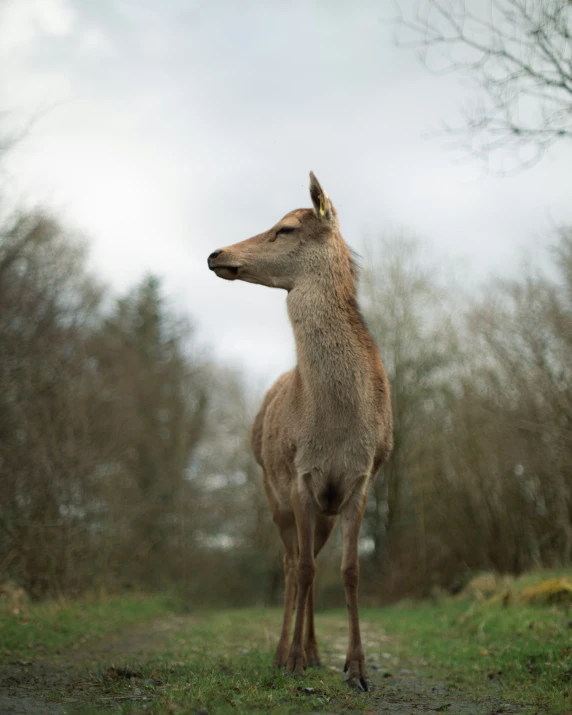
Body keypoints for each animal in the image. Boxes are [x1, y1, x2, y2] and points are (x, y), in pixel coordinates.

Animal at [209, 171, 394, 692]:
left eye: (286, 228)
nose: (216, 253)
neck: (337, 424)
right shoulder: (299, 474)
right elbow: (306, 569)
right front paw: (290, 659)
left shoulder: (360, 479)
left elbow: (349, 571)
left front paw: (357, 669)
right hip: (271, 490)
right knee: (292, 565)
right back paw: (284, 653)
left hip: (323, 507)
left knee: (308, 563)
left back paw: (312, 652)